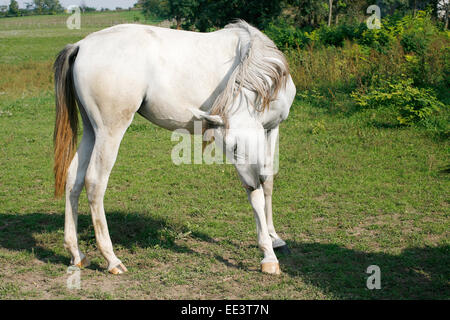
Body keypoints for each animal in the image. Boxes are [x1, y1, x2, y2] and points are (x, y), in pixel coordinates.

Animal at [53, 20, 296, 276]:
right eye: (232, 149)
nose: (250, 182)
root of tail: (82, 45)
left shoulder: (271, 129)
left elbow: (268, 182)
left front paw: (275, 238)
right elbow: (258, 195)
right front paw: (268, 255)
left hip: (92, 131)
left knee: (73, 179)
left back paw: (77, 253)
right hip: (109, 131)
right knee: (95, 183)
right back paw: (112, 259)